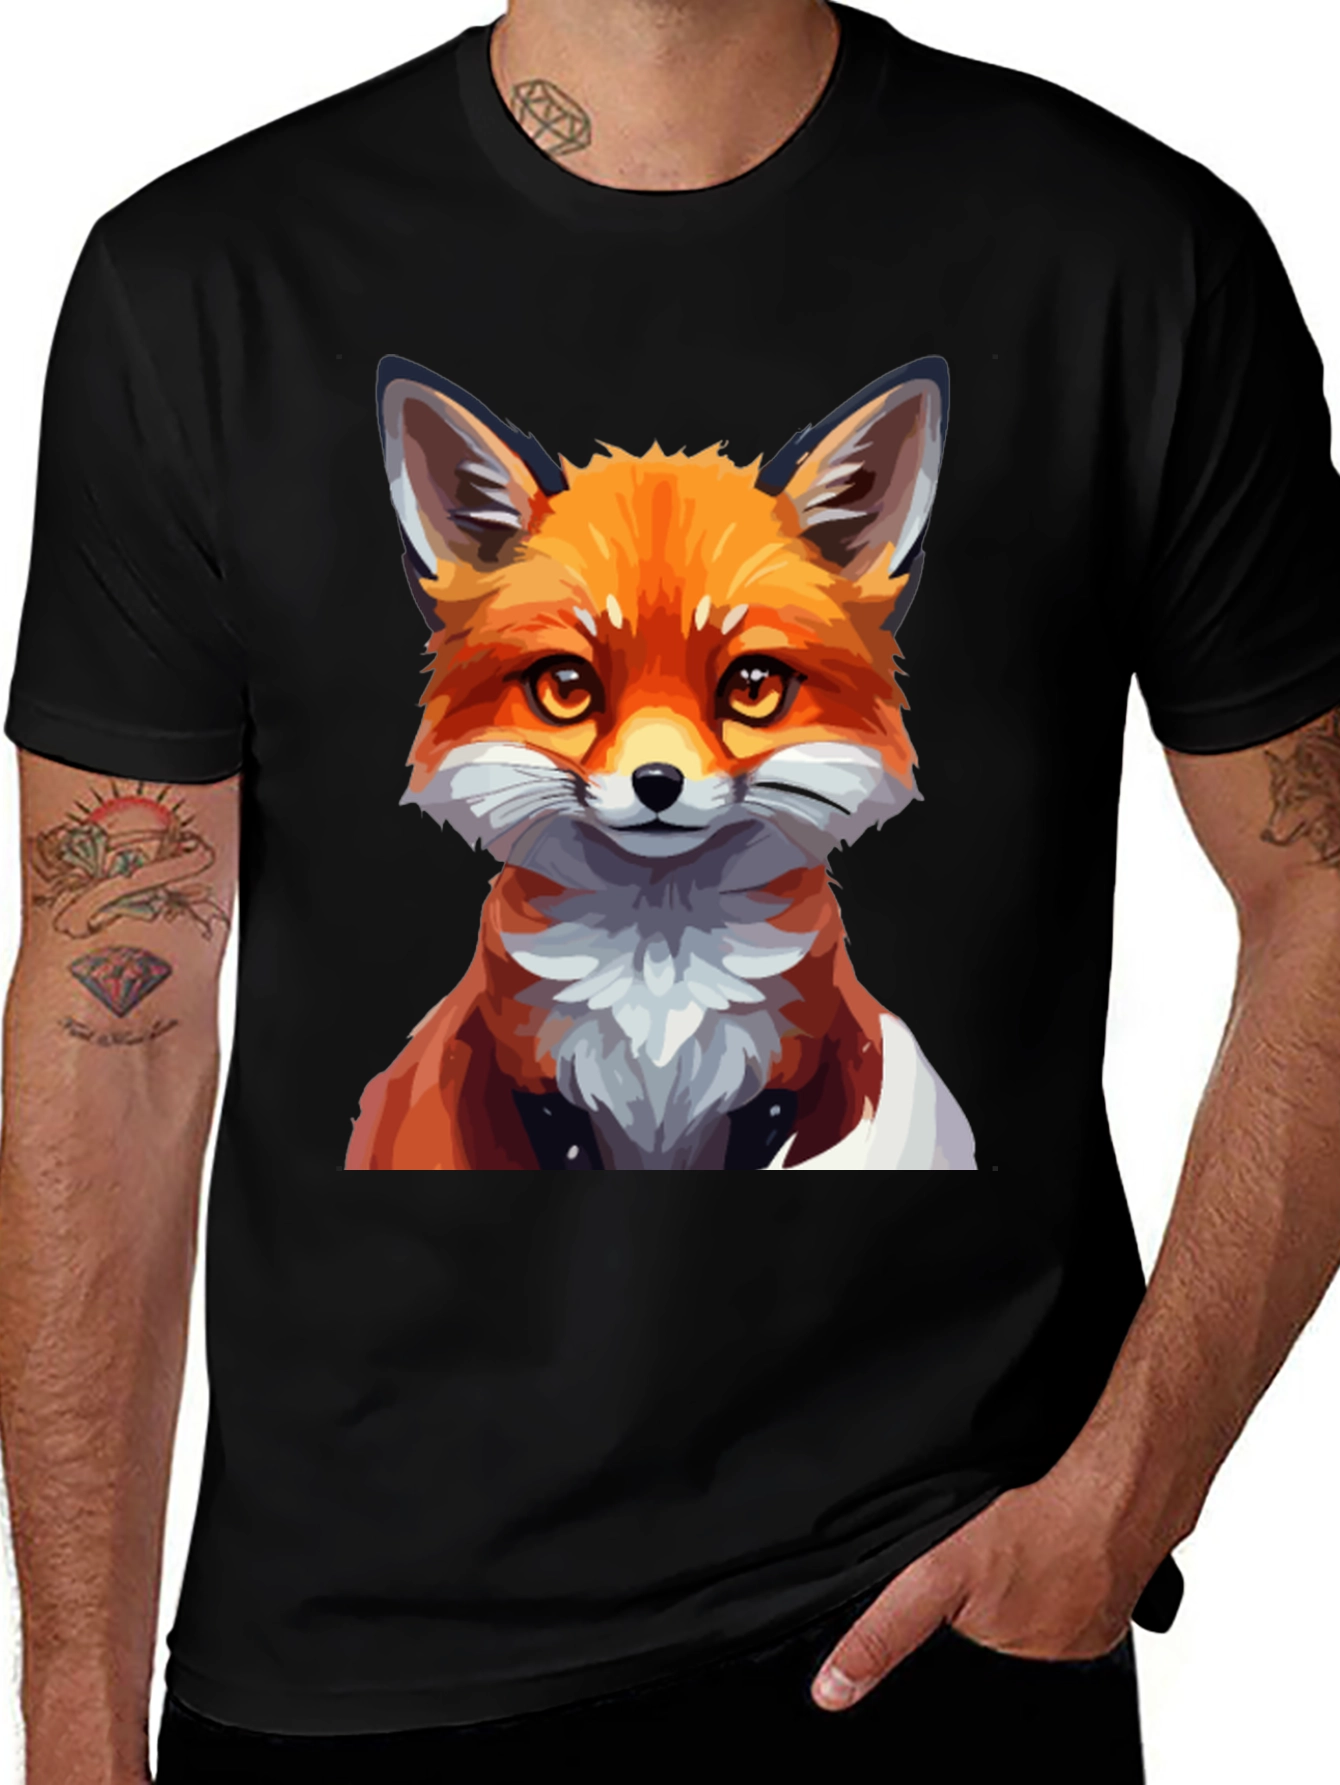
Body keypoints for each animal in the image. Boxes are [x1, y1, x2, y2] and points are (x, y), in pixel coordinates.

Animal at [346, 360, 976, 1172]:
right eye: (567, 686)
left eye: (752, 686)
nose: (657, 783)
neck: (659, 968)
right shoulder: (538, 1087)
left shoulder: (782, 1086)